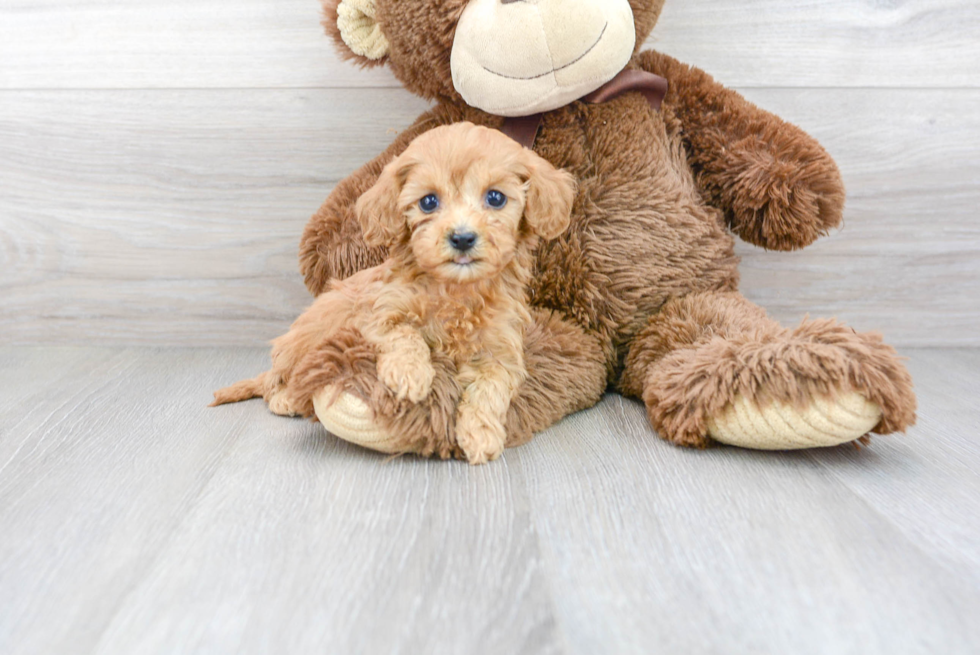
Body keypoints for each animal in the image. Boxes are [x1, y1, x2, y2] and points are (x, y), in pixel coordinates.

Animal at [212, 120, 576, 464]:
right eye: (428, 202)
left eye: (496, 197)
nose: (462, 238)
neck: (455, 290)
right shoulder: (378, 312)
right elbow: (404, 334)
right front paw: (410, 373)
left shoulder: (502, 349)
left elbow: (492, 387)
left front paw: (481, 434)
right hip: (306, 337)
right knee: (278, 380)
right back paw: (285, 397)